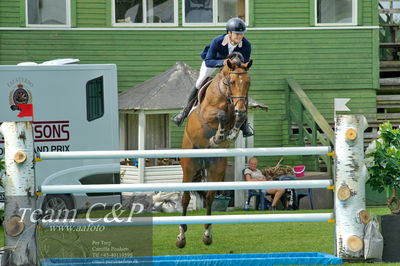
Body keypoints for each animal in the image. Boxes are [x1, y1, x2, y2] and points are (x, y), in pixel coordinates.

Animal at [176, 53, 252, 248]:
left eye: (248, 82)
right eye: (231, 82)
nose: (241, 107)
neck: (226, 97)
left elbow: (238, 119)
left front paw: (230, 133)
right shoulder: (208, 113)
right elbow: (221, 115)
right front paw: (218, 136)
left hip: (216, 166)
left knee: (210, 197)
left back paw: (207, 234)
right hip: (189, 165)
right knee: (185, 198)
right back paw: (181, 236)